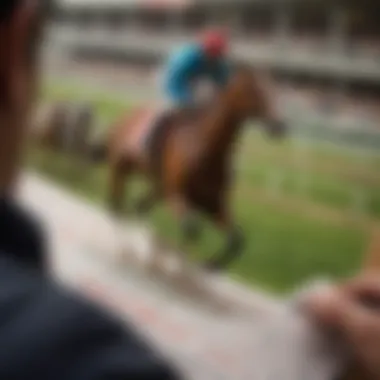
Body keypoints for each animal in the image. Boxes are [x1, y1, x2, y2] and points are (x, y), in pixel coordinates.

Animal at [102, 66, 286, 270]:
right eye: (254, 90)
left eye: (274, 87)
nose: (280, 126)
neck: (205, 150)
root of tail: (125, 117)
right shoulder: (176, 195)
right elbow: (192, 228)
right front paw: (175, 260)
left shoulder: (213, 204)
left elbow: (236, 239)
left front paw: (211, 264)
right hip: (120, 168)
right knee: (116, 204)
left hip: (157, 188)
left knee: (139, 207)